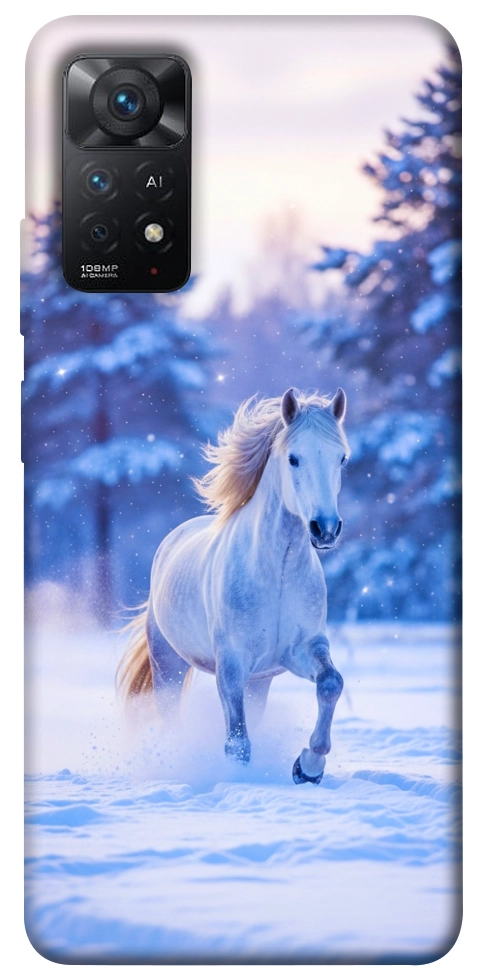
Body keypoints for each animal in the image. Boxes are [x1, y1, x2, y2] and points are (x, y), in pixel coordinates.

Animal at [118, 387, 350, 784]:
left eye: (341, 458)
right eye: (294, 458)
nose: (325, 529)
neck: (277, 574)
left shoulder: (301, 649)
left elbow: (331, 683)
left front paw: (308, 767)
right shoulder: (231, 664)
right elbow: (237, 742)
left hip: (259, 682)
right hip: (168, 665)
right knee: (171, 717)